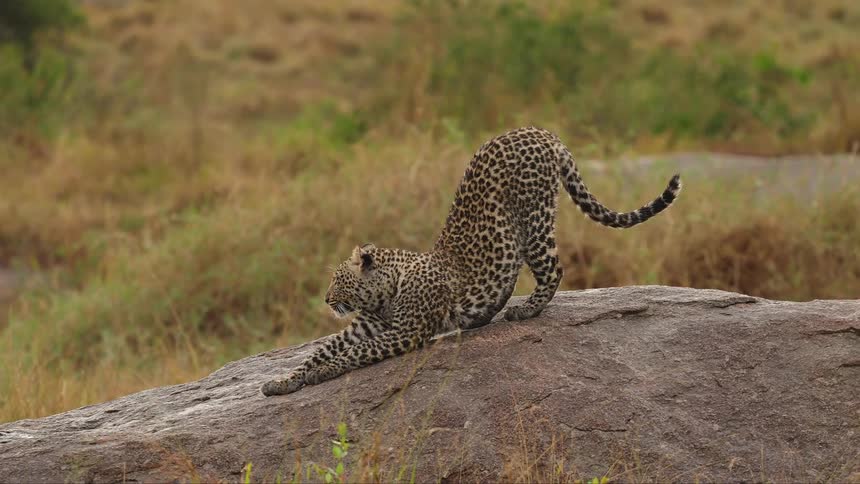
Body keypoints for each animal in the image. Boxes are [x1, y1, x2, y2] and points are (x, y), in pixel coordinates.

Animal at [261, 126, 681, 396]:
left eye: (338, 280)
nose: (327, 300)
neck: (386, 291)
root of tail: (542, 132)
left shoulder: (404, 332)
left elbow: (351, 355)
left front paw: (322, 374)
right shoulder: (363, 327)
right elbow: (320, 350)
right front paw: (283, 381)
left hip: (533, 220)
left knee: (553, 268)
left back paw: (524, 310)